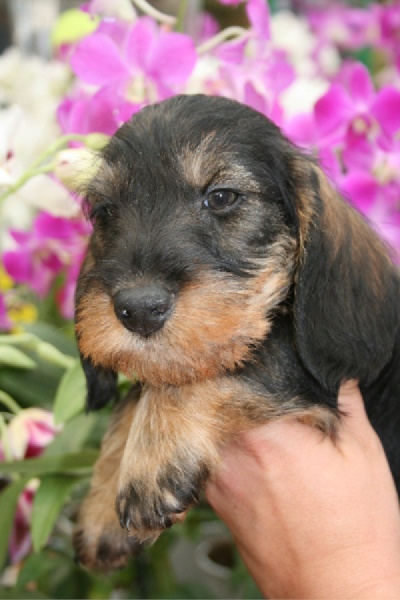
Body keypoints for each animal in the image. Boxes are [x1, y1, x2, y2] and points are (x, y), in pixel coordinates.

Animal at [73, 94, 400, 571]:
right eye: (104, 212)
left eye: (222, 197)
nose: (138, 309)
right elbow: (143, 389)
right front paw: (101, 508)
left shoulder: (309, 381)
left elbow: (235, 361)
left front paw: (151, 460)